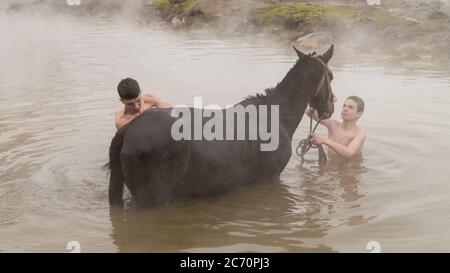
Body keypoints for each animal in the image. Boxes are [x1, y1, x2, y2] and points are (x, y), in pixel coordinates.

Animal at [108, 45, 334, 206]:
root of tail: (128, 130)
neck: (276, 115)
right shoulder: (269, 178)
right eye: (331, 76)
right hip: (153, 199)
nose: (330, 108)